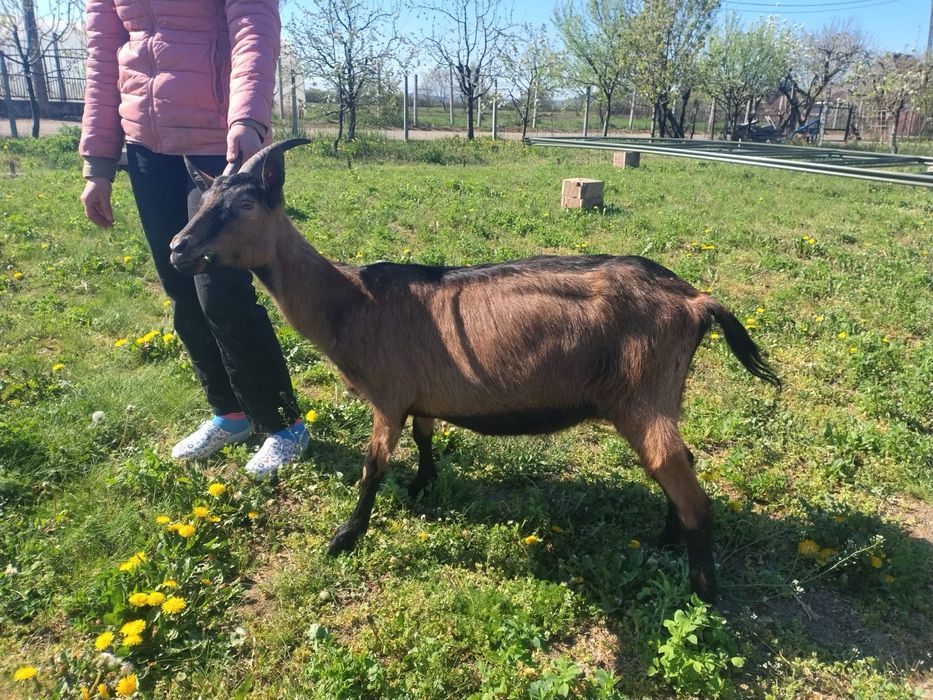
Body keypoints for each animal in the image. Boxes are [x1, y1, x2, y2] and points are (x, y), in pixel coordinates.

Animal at [170, 139, 780, 603]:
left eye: (246, 206)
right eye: (200, 199)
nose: (177, 247)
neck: (352, 301)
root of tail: (697, 301)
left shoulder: (386, 397)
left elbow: (371, 469)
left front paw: (345, 536)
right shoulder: (417, 395)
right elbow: (424, 434)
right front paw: (421, 484)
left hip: (644, 397)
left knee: (690, 490)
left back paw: (703, 591)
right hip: (661, 396)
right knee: (683, 467)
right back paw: (666, 538)